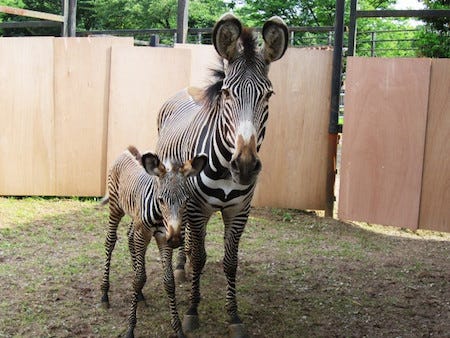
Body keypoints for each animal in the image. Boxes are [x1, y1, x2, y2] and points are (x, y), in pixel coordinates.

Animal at [100, 145, 207, 338]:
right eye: (161, 199)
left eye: (186, 200)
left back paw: (140, 294)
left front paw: (178, 328)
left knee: (129, 238)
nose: (175, 239)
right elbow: (139, 279)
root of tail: (126, 151)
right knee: (110, 242)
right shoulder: (143, 234)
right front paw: (130, 328)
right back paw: (104, 294)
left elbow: (169, 281)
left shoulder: (163, 238)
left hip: (134, 220)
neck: (159, 216)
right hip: (116, 207)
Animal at [155, 12, 288, 336]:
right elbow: (200, 256)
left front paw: (234, 316)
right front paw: (192, 311)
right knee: (187, 240)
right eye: (227, 93)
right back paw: (182, 268)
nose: (245, 165)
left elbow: (230, 262)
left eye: (268, 95)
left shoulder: (239, 210)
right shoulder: (197, 208)